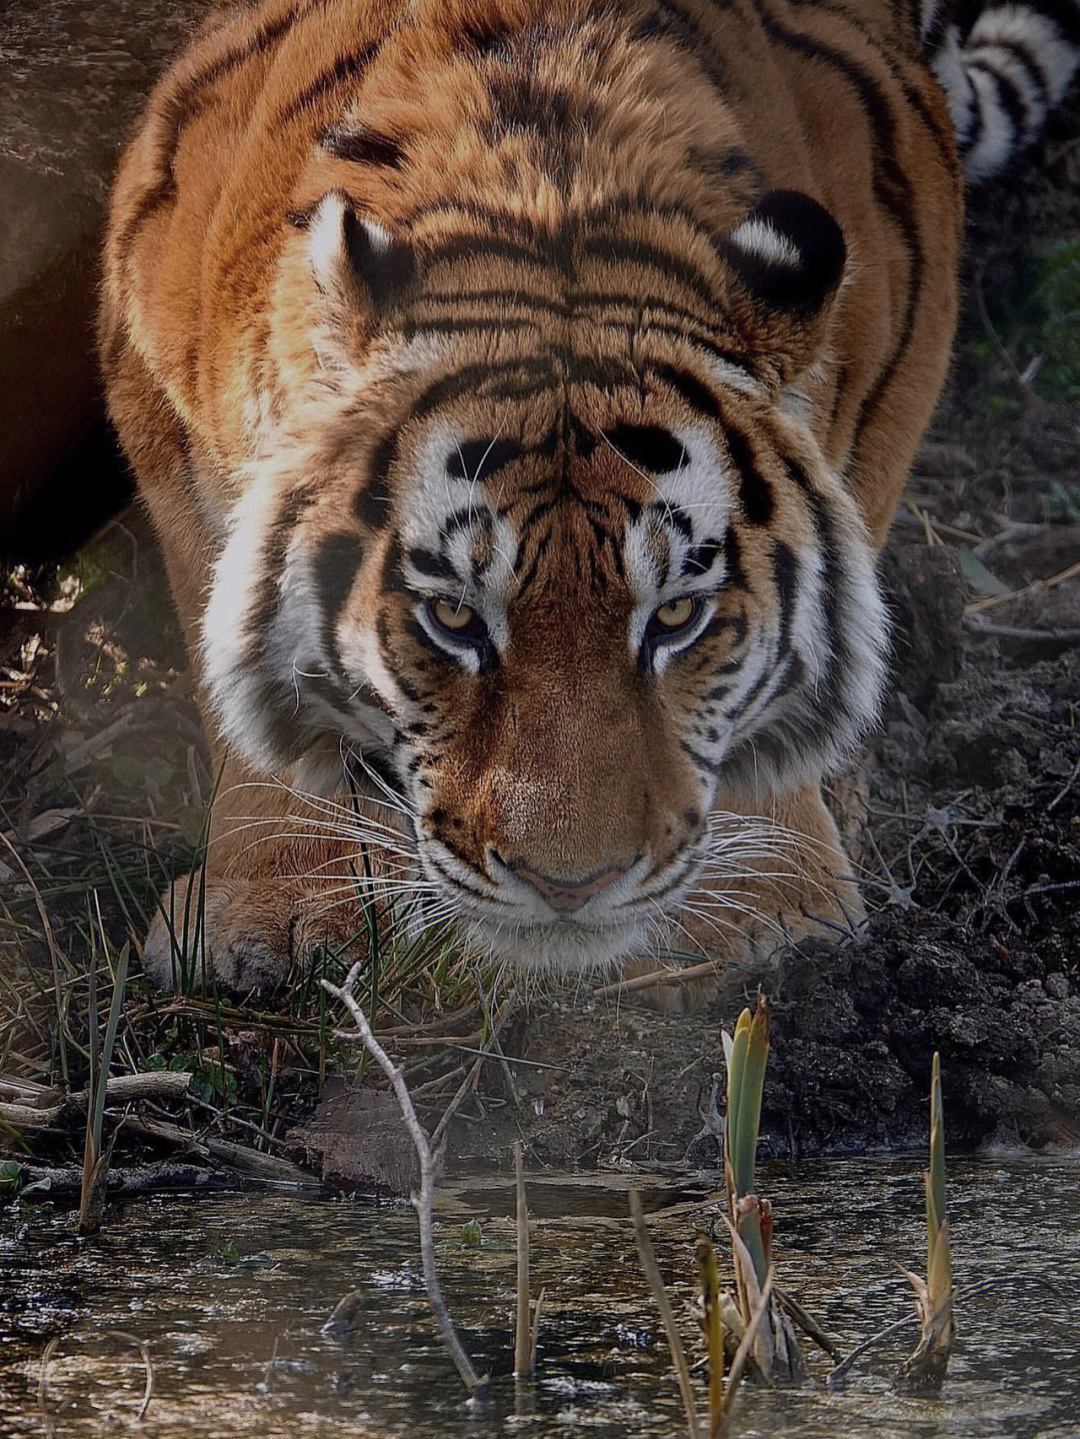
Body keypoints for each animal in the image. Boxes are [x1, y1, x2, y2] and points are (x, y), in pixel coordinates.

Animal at [101, 0, 1080, 1001]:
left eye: (679, 615)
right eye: (452, 616)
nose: (568, 886)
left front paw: (767, 909)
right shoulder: (159, 395)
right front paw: (277, 905)